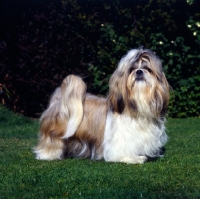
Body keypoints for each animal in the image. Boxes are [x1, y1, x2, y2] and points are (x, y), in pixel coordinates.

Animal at [33, 47, 170, 163]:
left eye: (148, 70)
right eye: (131, 70)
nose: (139, 71)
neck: (137, 106)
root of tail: (58, 98)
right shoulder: (120, 141)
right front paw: (134, 158)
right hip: (55, 132)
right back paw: (47, 155)